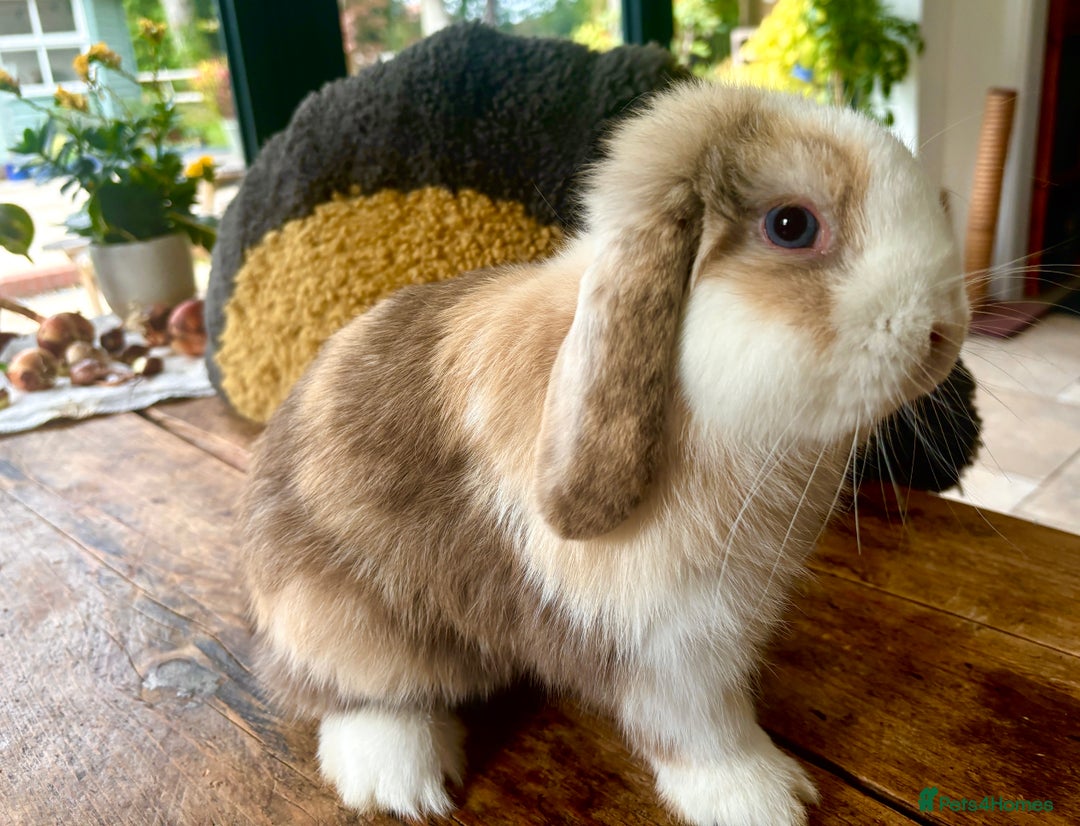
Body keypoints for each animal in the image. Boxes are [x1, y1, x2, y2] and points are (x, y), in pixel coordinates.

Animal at [240, 79, 969, 826]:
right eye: (791, 225)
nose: (945, 332)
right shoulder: (673, 639)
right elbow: (700, 729)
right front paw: (762, 797)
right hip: (341, 619)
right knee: (352, 694)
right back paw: (399, 779)